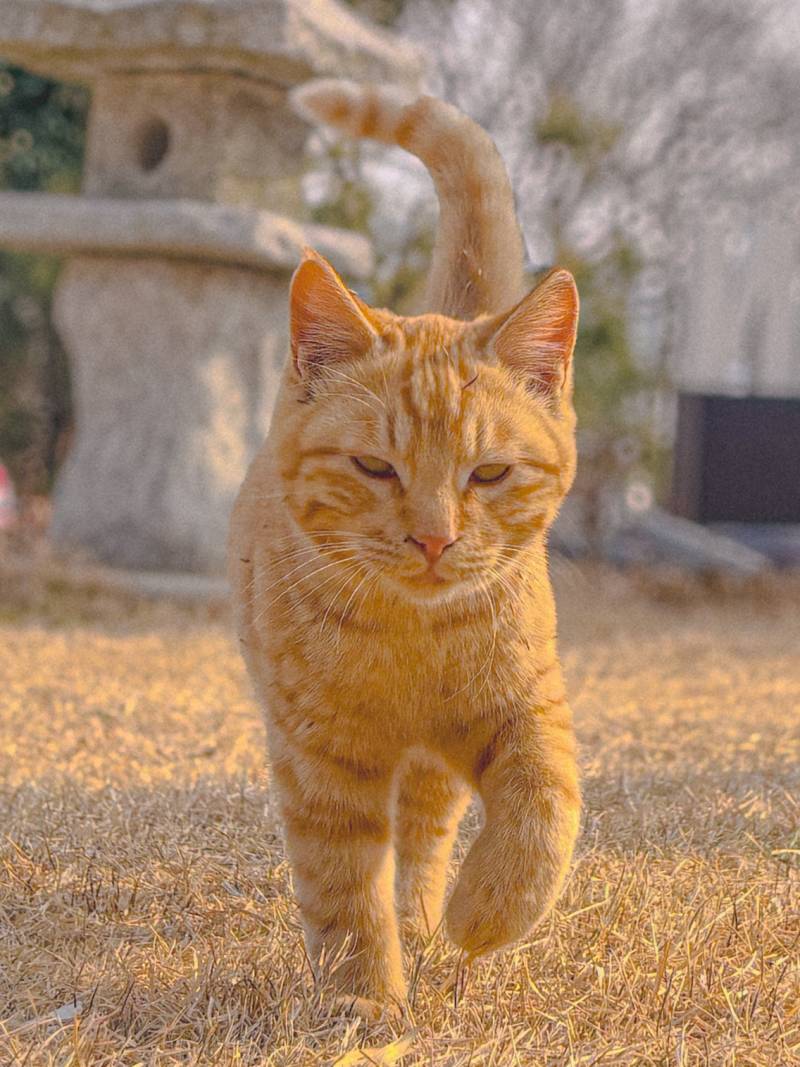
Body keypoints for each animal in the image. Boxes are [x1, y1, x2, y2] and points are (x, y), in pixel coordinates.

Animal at [228, 78, 580, 1011]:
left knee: (425, 834)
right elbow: (343, 885)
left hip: (436, 769)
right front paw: (364, 1002)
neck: (413, 641)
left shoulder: (530, 704)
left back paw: (429, 918)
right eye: (375, 466)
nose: (433, 538)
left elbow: (544, 810)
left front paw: (484, 913)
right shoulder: (320, 762)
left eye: (488, 473)